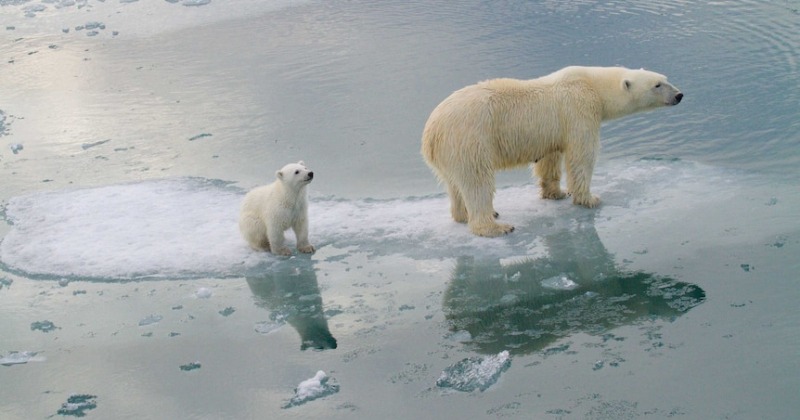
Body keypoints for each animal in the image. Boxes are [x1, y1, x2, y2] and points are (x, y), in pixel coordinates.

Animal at [422, 65, 684, 236]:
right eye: (657, 85)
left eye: (665, 78)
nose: (680, 95)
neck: (593, 84)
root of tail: (431, 132)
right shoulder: (579, 110)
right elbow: (581, 155)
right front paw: (589, 198)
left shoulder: (552, 131)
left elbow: (550, 159)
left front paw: (556, 193)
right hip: (470, 139)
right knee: (477, 181)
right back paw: (495, 226)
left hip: (450, 152)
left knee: (455, 184)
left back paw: (464, 215)